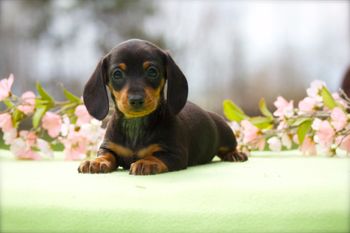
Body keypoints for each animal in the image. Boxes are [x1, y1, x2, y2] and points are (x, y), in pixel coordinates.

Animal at [78, 39, 249, 175]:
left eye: (152, 71)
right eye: (117, 74)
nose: (136, 100)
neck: (135, 126)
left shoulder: (174, 153)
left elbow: (155, 155)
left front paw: (146, 162)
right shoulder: (109, 147)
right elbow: (106, 154)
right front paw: (97, 161)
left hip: (226, 134)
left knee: (229, 147)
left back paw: (235, 155)